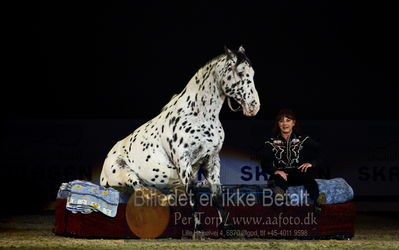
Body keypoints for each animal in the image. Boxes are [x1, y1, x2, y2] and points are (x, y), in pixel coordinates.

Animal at [101, 46, 260, 236]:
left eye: (252, 73)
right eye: (240, 72)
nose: (254, 106)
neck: (197, 115)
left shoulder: (212, 160)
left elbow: (217, 196)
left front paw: (228, 229)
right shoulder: (184, 163)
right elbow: (193, 196)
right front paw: (198, 232)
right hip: (127, 175)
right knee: (142, 193)